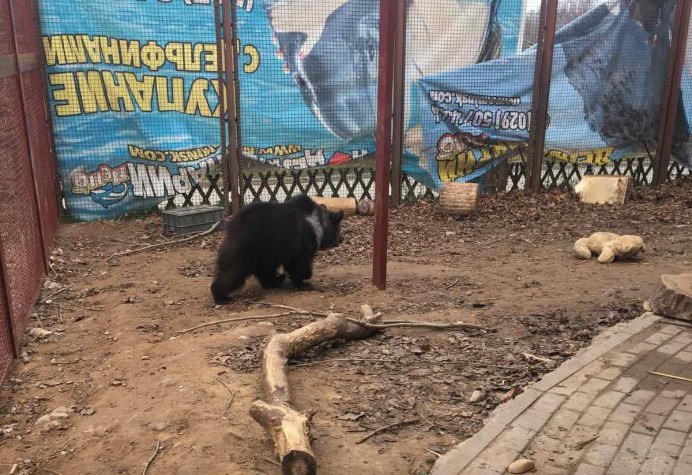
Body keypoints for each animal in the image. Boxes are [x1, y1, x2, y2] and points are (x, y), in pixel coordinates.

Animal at [210, 194, 344, 304]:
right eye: (338, 229)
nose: (342, 239)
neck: (318, 224)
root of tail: (232, 226)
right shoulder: (303, 241)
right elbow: (299, 263)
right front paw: (305, 282)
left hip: (262, 251)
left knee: (263, 270)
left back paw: (277, 279)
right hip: (245, 247)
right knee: (233, 271)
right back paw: (221, 297)